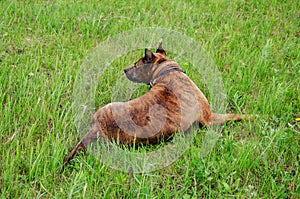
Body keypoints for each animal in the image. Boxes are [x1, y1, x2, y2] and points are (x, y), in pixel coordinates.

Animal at [62, 42, 244, 167]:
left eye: (135, 65)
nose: (124, 69)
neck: (167, 71)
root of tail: (97, 128)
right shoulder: (210, 117)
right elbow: (236, 115)